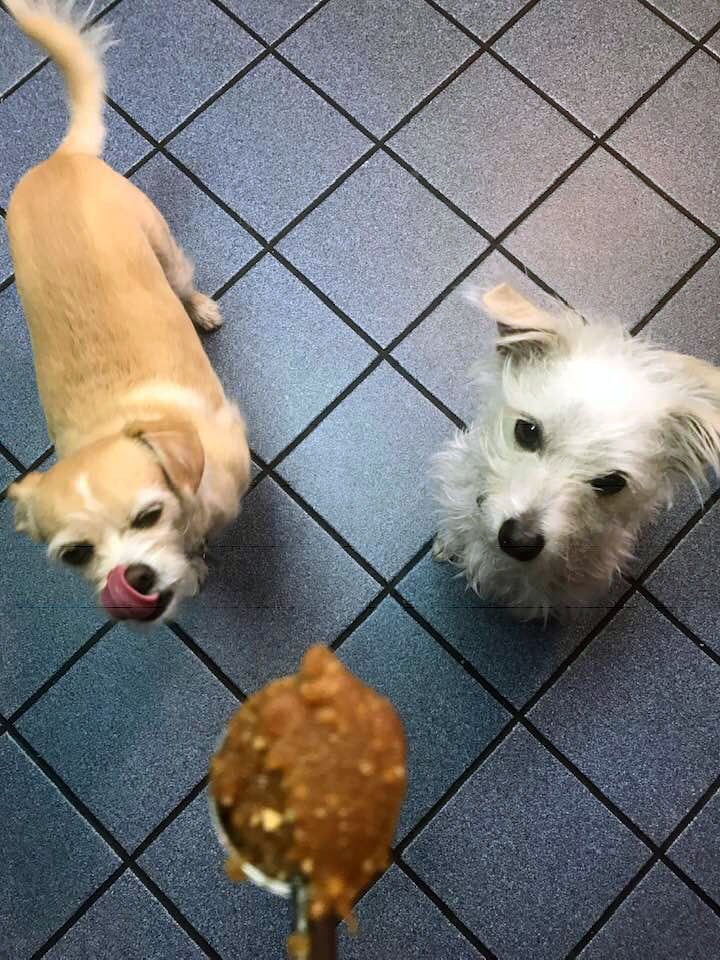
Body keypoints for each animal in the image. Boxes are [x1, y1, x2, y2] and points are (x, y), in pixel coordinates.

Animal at [5, 1, 250, 624]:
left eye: (148, 516)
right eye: (75, 554)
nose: (132, 576)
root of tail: (61, 158)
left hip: (161, 243)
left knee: (181, 280)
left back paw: (201, 309)